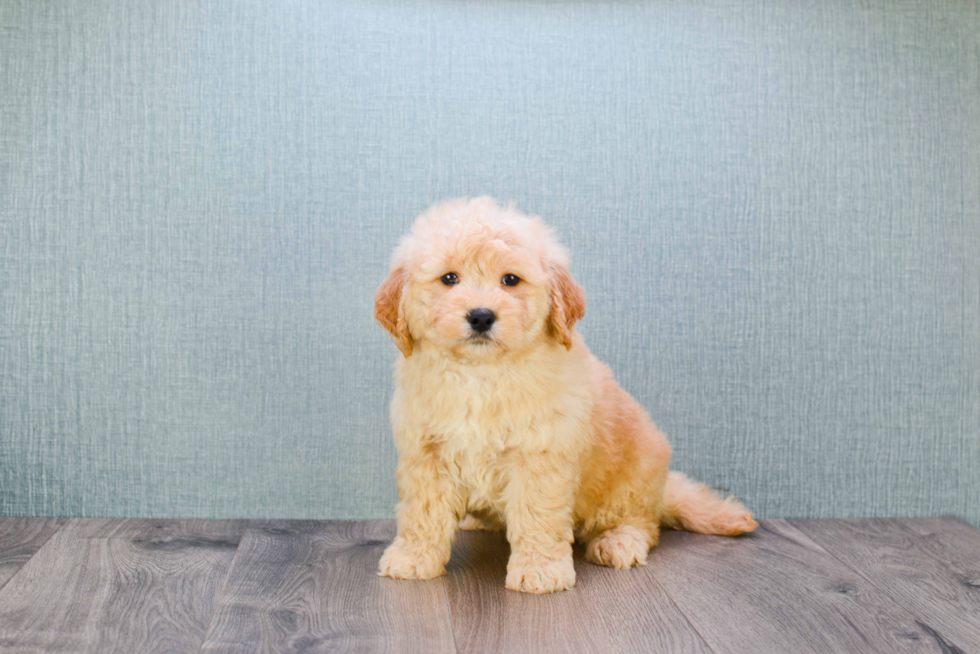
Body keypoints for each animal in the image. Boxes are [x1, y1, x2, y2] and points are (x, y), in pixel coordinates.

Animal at [376, 197, 756, 596]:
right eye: (449, 278)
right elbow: (422, 512)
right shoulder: (426, 453)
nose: (481, 316)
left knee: (643, 523)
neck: (482, 375)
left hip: (632, 478)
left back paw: (619, 541)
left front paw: (539, 570)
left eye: (510, 280)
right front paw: (413, 557)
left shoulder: (541, 454)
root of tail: (664, 486)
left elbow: (536, 514)